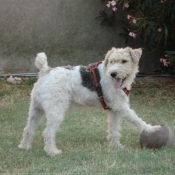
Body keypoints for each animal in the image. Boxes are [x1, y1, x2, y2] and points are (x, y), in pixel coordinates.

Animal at [18, 46, 160, 156]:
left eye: (124, 61)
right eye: (112, 61)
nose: (113, 74)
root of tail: (45, 71)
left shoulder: (115, 110)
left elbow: (114, 130)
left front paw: (116, 146)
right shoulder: (121, 107)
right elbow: (138, 121)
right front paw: (153, 129)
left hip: (36, 110)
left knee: (28, 129)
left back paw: (24, 147)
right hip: (56, 112)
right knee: (47, 133)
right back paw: (53, 152)